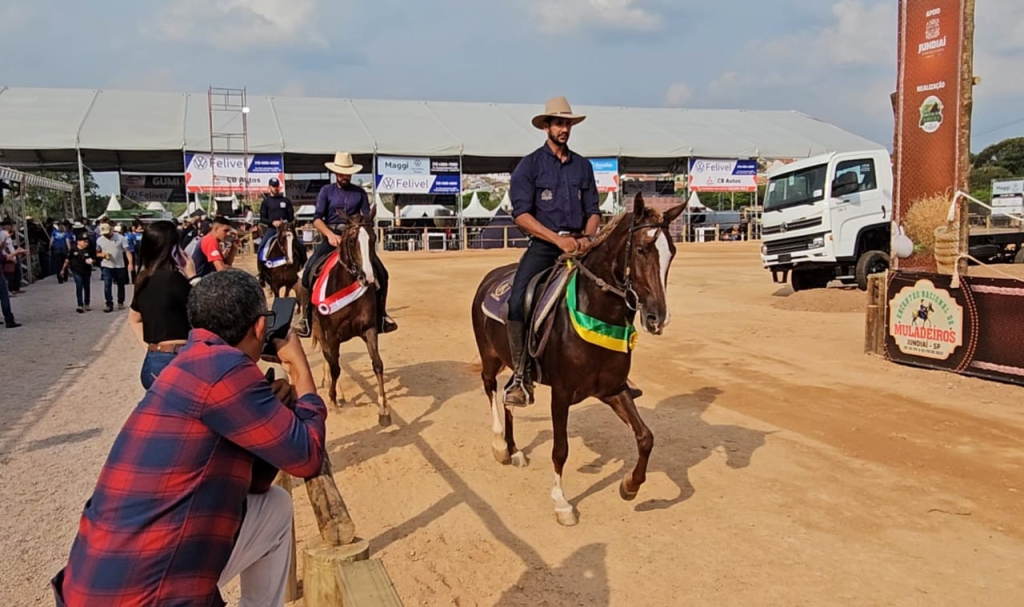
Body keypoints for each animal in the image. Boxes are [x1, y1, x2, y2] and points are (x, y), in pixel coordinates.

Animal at [305, 208, 389, 425]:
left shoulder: (369, 329)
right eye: (351, 241)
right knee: (329, 358)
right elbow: (335, 367)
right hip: (320, 330)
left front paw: (384, 409)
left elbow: (378, 364)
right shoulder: (331, 334)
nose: (367, 278)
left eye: (373, 238)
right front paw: (333, 400)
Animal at [471, 191, 688, 524]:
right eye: (641, 249)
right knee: (490, 388)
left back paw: (514, 449)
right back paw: (500, 446)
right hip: (490, 356)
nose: (657, 318)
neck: (595, 313)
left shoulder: (613, 390)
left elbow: (646, 437)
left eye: (672, 252)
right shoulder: (560, 395)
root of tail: (490, 279)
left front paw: (630, 486)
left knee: (509, 396)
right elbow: (560, 449)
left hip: (516, 366)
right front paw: (562, 503)